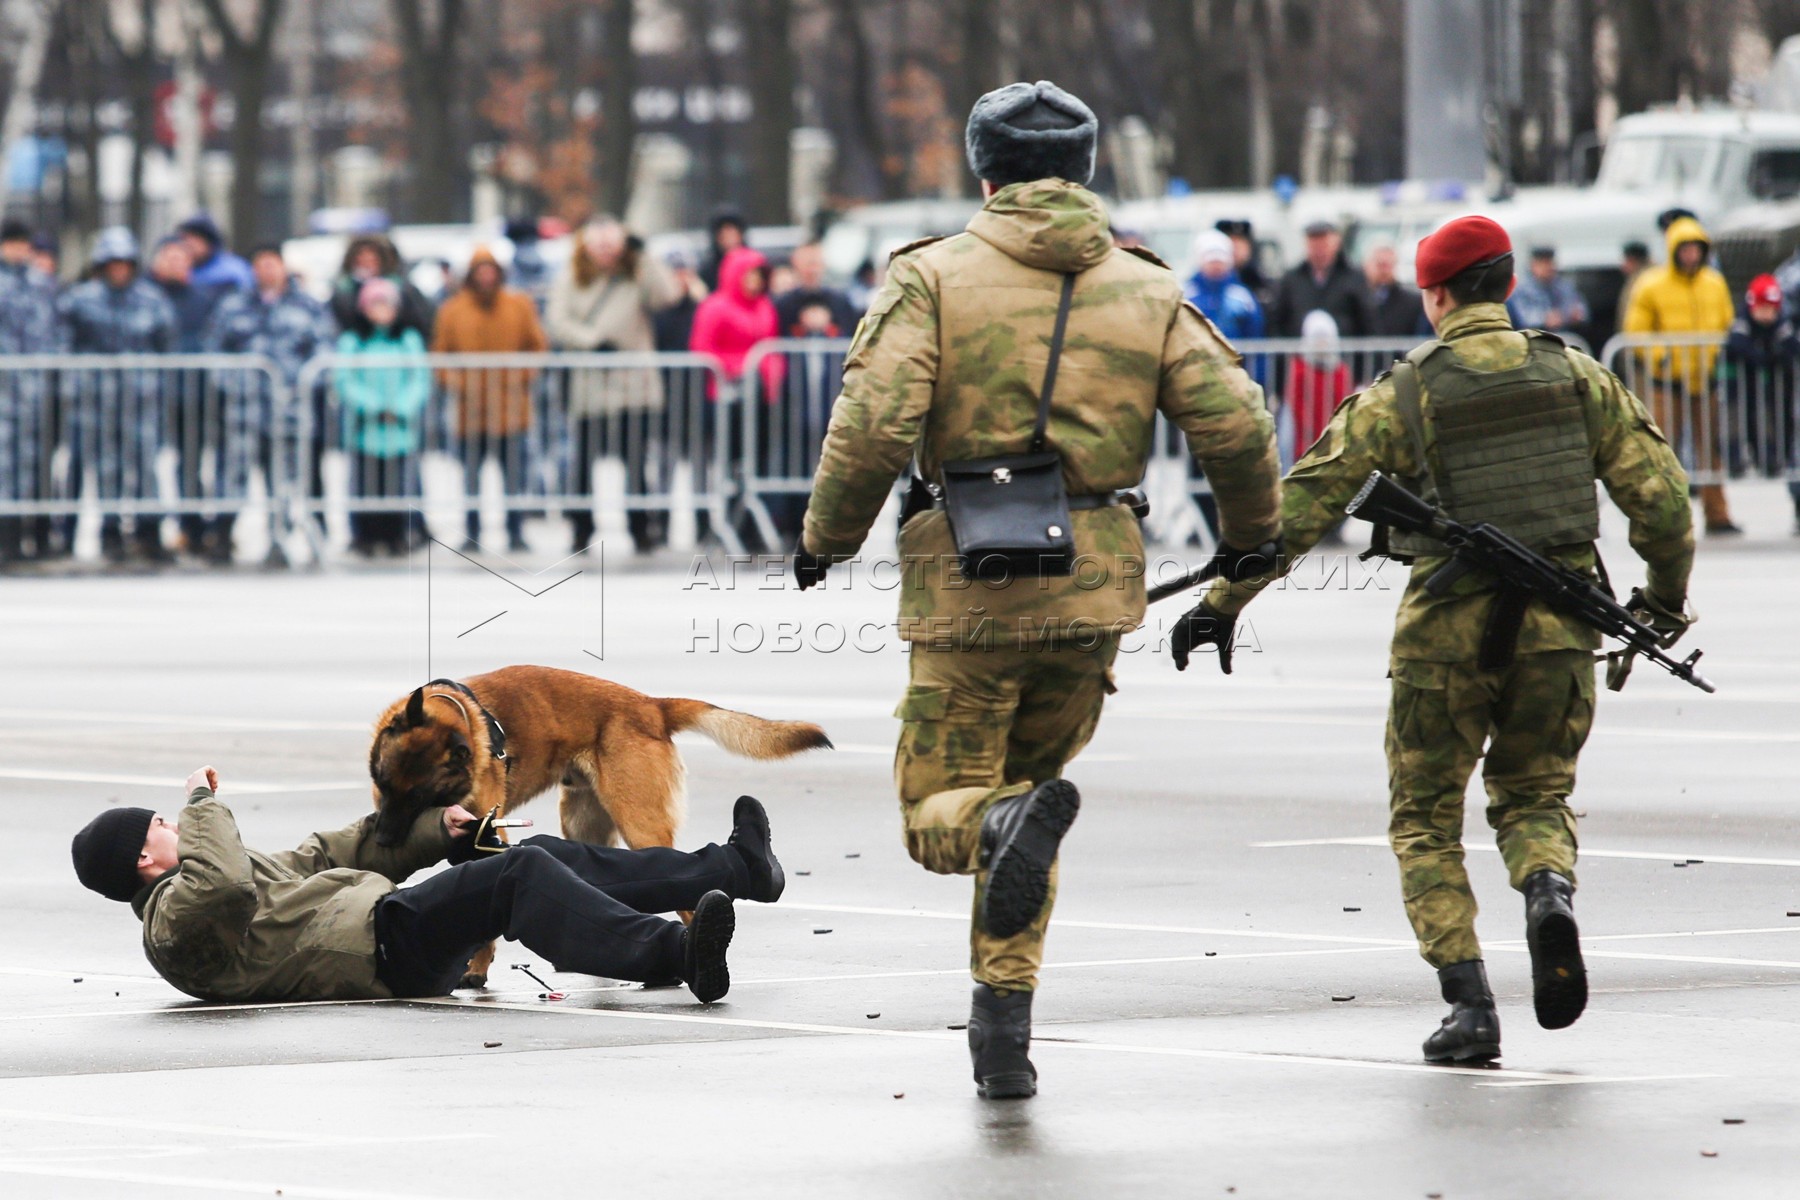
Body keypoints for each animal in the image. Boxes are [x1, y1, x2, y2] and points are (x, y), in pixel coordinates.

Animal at [374, 665, 835, 985]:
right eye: (384, 786)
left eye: (419, 799)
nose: (382, 840)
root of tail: (652, 705)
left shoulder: (487, 831)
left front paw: (478, 967)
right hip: (581, 823)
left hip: (639, 825)